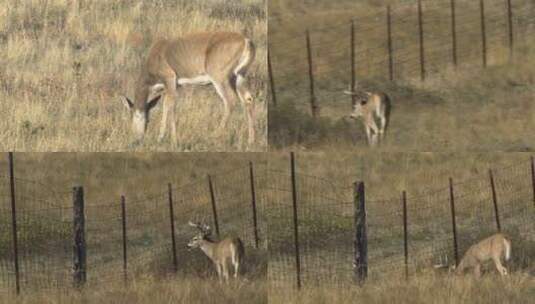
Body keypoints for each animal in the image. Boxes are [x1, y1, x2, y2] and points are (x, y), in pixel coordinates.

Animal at [122, 31, 256, 145]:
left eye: (135, 116)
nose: (136, 139)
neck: (158, 52)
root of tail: (245, 41)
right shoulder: (171, 86)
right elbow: (166, 105)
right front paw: (161, 137)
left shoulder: (170, 79)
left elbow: (171, 106)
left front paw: (173, 140)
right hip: (239, 77)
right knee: (248, 99)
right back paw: (251, 140)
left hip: (220, 78)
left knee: (230, 100)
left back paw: (214, 137)